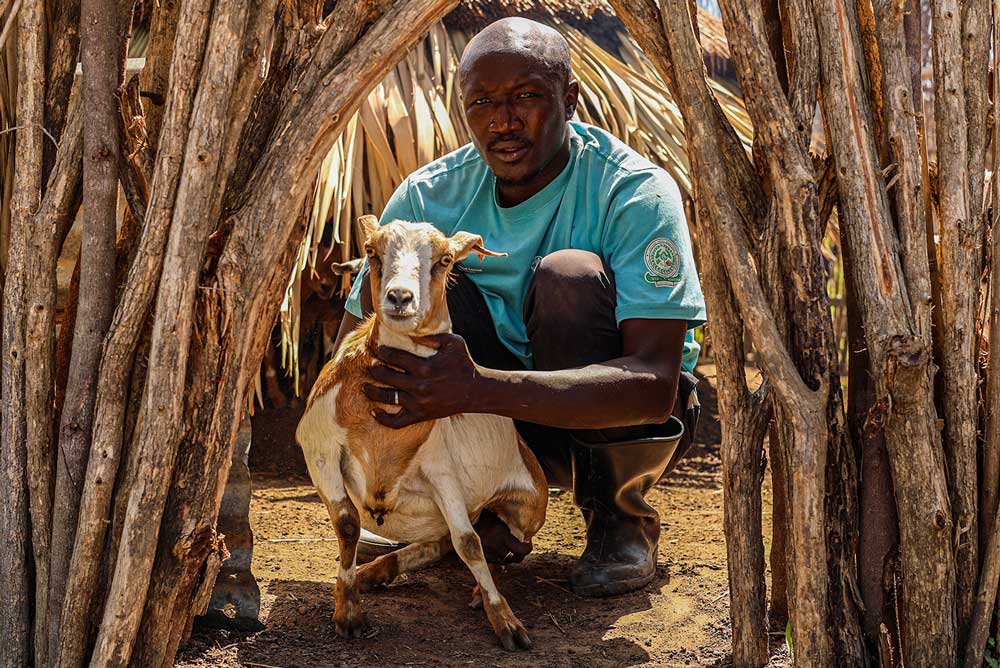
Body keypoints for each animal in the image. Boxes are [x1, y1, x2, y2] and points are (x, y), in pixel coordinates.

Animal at [295, 216, 548, 651]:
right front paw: (349, 612)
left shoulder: (441, 470)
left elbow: (469, 543)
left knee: (504, 542)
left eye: (445, 259)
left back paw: (476, 592)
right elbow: (347, 524)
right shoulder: (320, 450)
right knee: (441, 540)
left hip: (529, 504)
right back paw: (376, 571)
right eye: (371, 250)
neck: (383, 431)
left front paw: (508, 624)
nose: (400, 297)